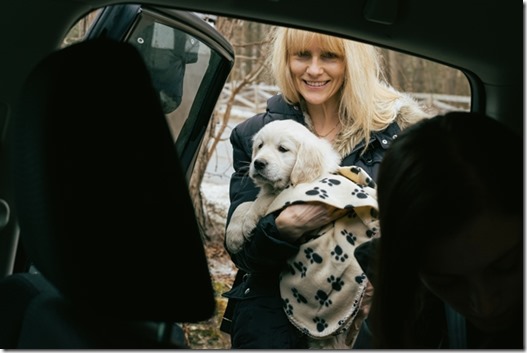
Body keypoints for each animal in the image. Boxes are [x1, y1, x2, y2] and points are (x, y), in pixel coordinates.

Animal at [227, 118, 342, 253]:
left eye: (282, 148)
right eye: (260, 145)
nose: (258, 163)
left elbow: (262, 200)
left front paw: (248, 223)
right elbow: (243, 204)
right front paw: (233, 237)